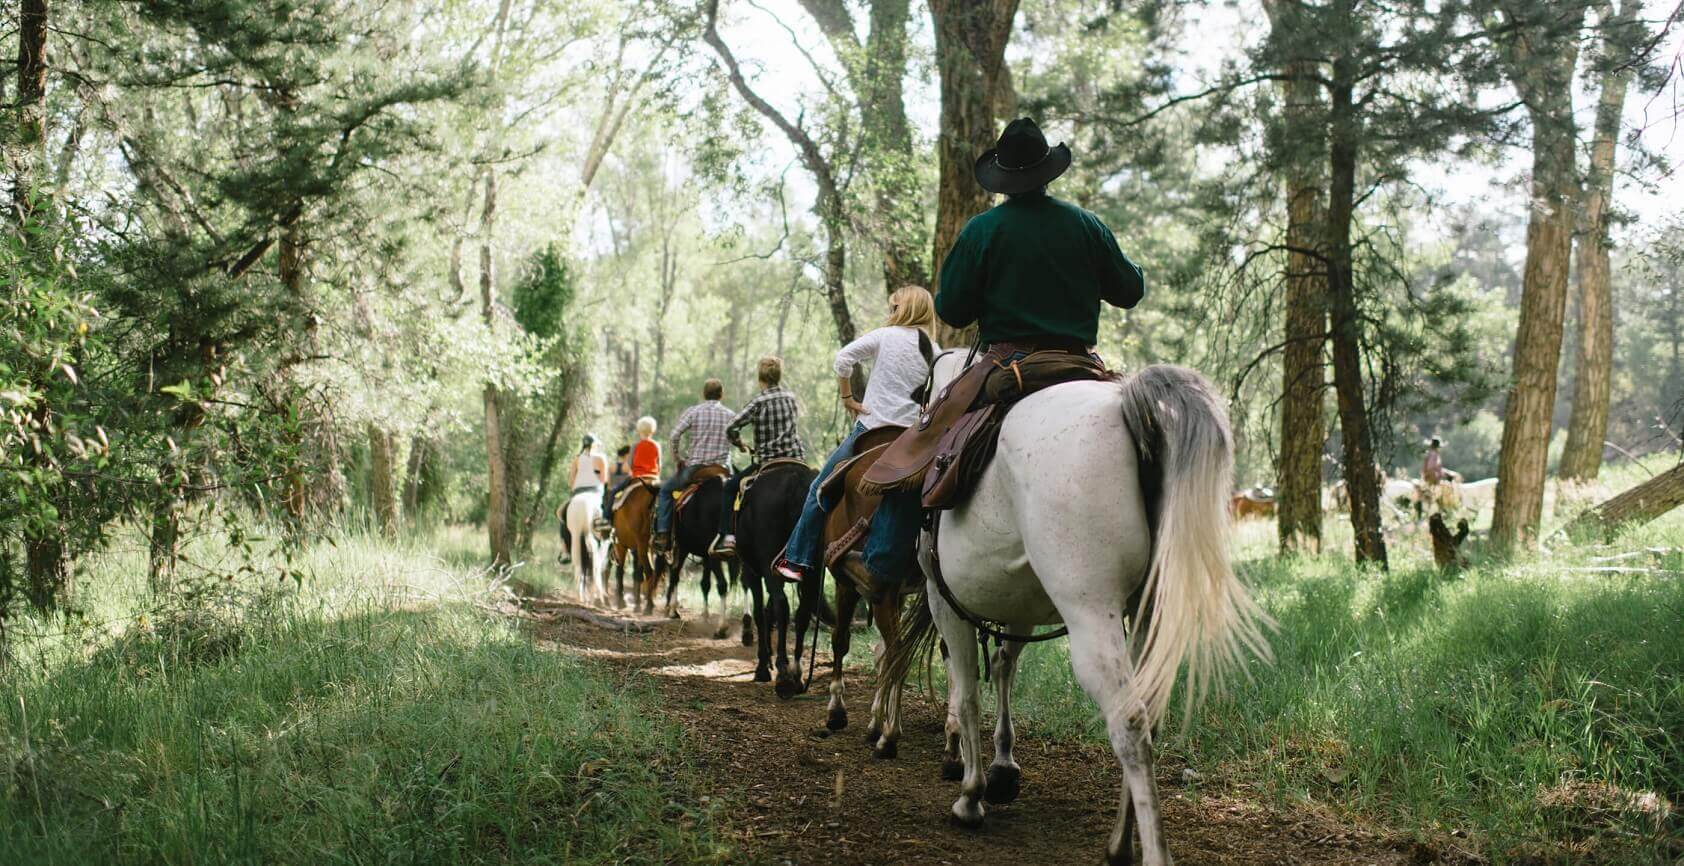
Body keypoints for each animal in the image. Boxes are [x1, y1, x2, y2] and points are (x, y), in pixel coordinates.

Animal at [889, 352, 1266, 862]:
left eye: (925, 391)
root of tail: (1127, 403)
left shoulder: (943, 599)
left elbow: (966, 694)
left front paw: (971, 793)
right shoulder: (1021, 609)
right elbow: (1004, 668)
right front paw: (1003, 766)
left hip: (1090, 613)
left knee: (1129, 719)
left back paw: (1149, 850)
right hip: (1145, 614)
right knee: (1147, 713)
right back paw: (1119, 841)